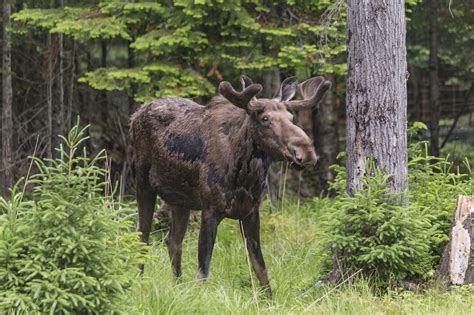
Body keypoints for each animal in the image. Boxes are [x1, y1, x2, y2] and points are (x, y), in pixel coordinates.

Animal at [128, 74, 332, 296]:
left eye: (291, 118)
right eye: (265, 118)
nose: (306, 153)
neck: (244, 178)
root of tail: (135, 115)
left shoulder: (251, 212)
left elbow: (260, 267)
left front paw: (269, 298)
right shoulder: (210, 209)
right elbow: (203, 270)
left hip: (180, 200)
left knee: (173, 242)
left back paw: (178, 286)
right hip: (143, 184)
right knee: (142, 237)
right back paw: (139, 283)